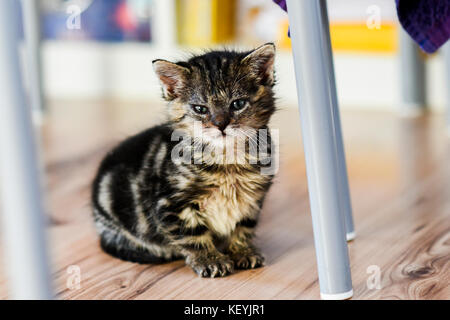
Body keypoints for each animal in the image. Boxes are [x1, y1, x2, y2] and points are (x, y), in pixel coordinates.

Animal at [92, 43, 278, 278]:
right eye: (200, 109)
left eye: (238, 104)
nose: (221, 124)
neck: (227, 159)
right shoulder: (171, 202)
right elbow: (192, 235)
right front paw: (210, 260)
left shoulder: (252, 198)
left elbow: (243, 226)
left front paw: (243, 250)